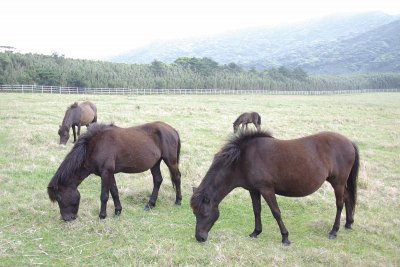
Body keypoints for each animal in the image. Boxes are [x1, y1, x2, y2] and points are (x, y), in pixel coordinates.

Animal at [47, 122, 183, 222]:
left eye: (59, 197)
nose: (67, 219)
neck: (95, 146)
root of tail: (172, 130)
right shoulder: (110, 173)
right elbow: (114, 192)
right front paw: (118, 211)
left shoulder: (106, 173)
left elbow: (104, 195)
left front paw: (102, 216)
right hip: (155, 163)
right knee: (158, 180)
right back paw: (150, 204)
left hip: (170, 161)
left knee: (177, 177)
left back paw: (178, 201)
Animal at [191, 131, 360, 246]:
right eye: (194, 213)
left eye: (204, 214)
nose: (199, 238)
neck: (242, 160)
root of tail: (349, 142)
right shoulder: (254, 190)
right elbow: (256, 210)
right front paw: (256, 232)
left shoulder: (266, 189)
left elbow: (276, 212)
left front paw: (285, 237)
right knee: (347, 198)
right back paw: (348, 223)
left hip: (337, 183)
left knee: (339, 204)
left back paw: (334, 231)